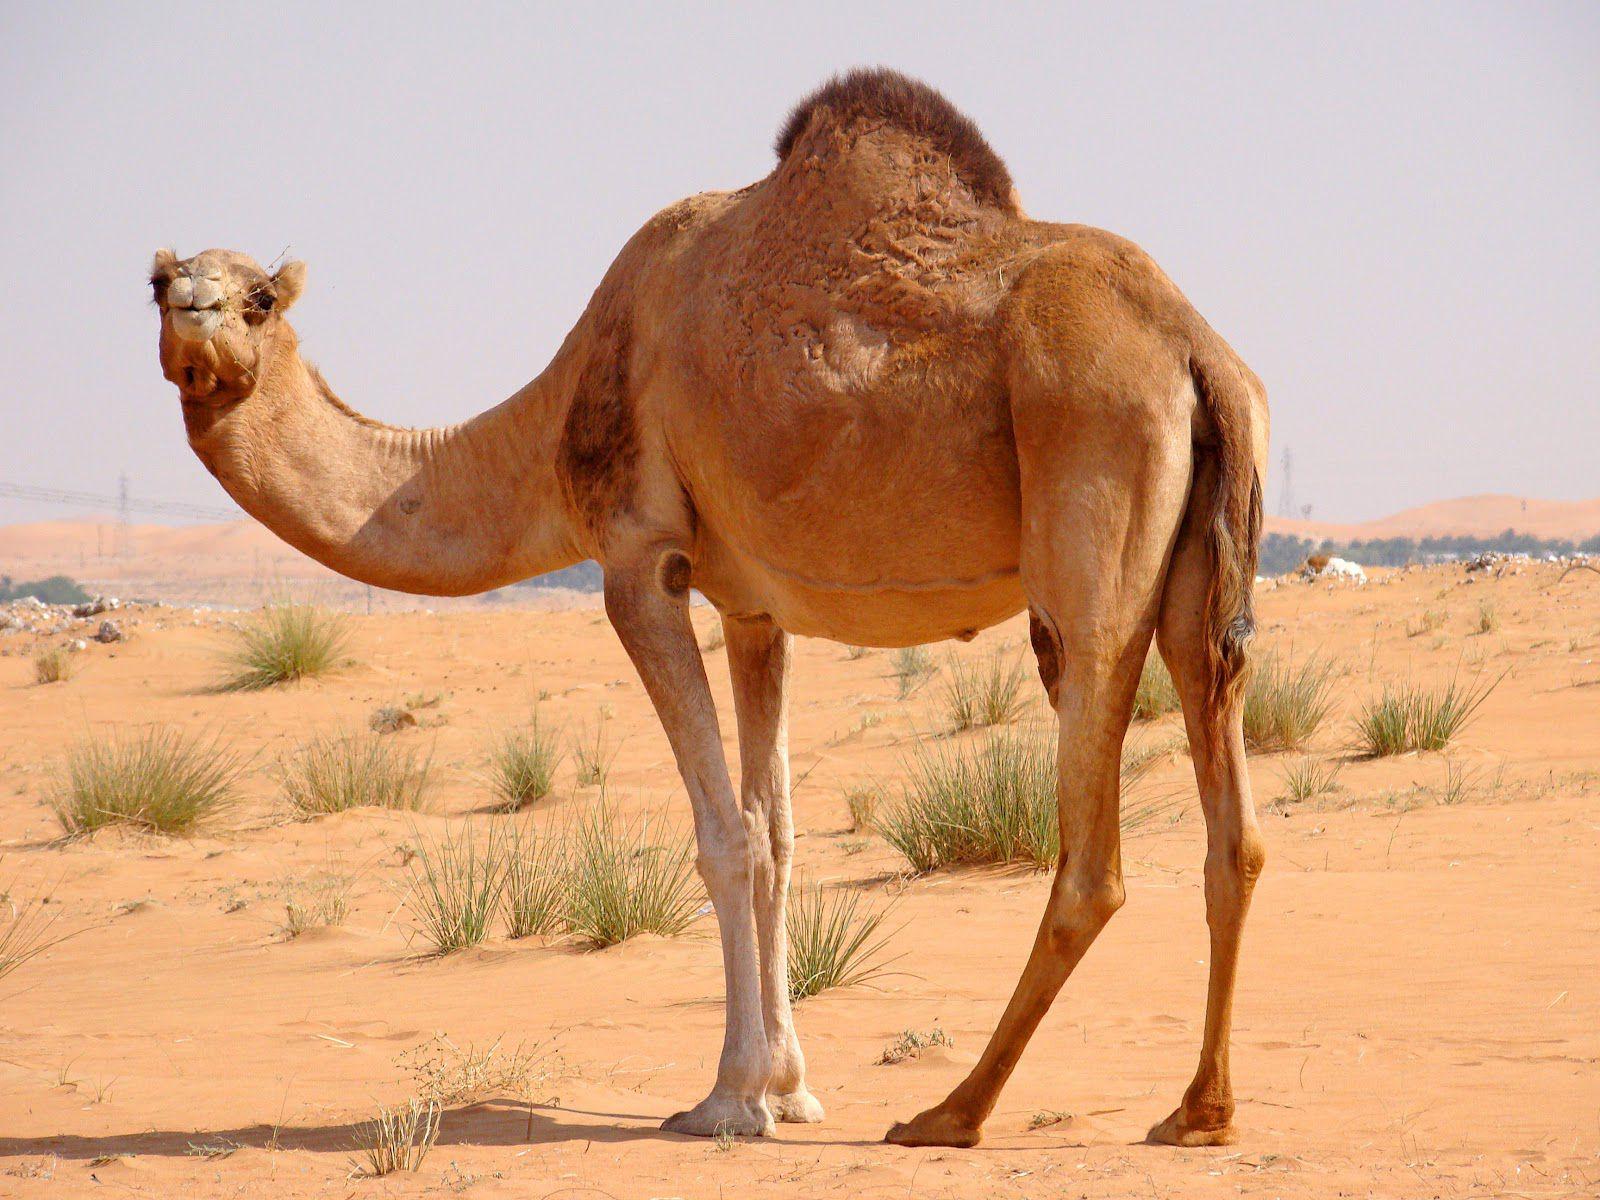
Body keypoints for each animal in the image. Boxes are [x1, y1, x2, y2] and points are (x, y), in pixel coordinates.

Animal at [150, 67, 1269, 1149]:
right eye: (158, 283)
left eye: (259, 299)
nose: (194, 317)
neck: (552, 420)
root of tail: (1196, 349)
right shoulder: (753, 609)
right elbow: (775, 833)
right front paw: (790, 1089)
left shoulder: (639, 559)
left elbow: (723, 834)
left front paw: (730, 1099)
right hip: (1198, 566)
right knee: (1233, 823)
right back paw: (1197, 1113)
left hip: (1090, 499)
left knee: (1091, 850)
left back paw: (950, 1114)